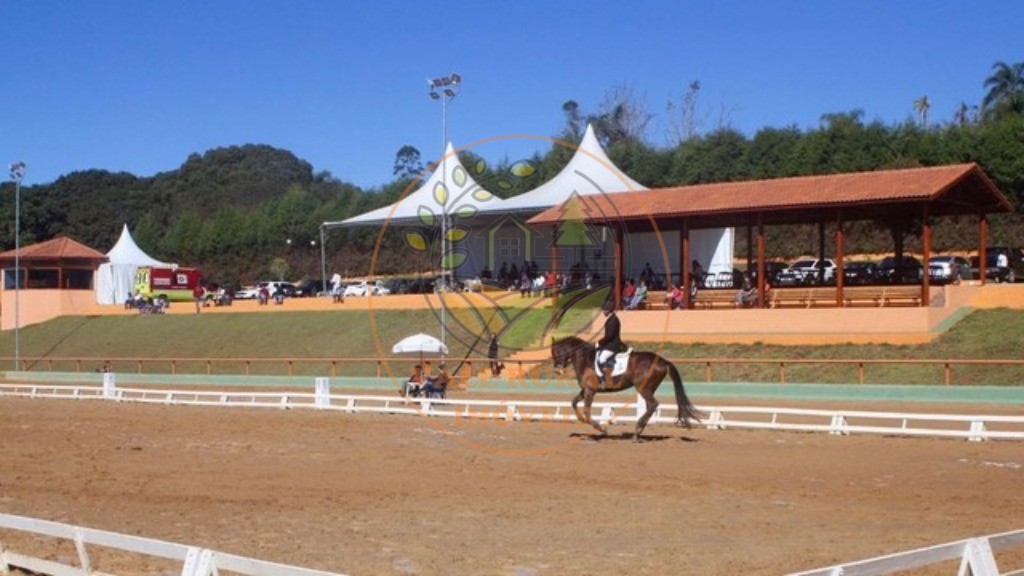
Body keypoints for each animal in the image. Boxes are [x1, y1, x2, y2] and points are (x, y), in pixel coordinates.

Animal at [552, 334, 704, 436]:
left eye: (555, 352)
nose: (558, 370)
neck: (585, 359)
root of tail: (662, 360)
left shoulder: (590, 390)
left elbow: (587, 412)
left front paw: (602, 429)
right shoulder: (586, 389)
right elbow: (573, 402)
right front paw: (580, 418)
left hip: (643, 387)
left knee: (653, 404)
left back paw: (638, 428)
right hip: (649, 388)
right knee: (650, 406)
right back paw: (639, 431)